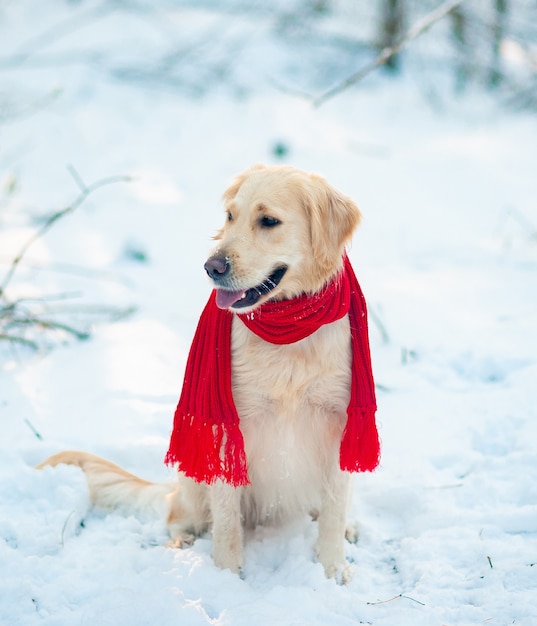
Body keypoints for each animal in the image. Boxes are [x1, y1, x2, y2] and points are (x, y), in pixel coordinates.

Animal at [38, 165, 376, 580]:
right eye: (230, 216)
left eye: (268, 221)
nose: (211, 267)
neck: (288, 332)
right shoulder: (229, 425)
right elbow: (227, 519)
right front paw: (227, 575)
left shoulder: (341, 420)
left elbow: (333, 507)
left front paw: (331, 567)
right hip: (192, 477)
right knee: (179, 516)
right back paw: (182, 541)